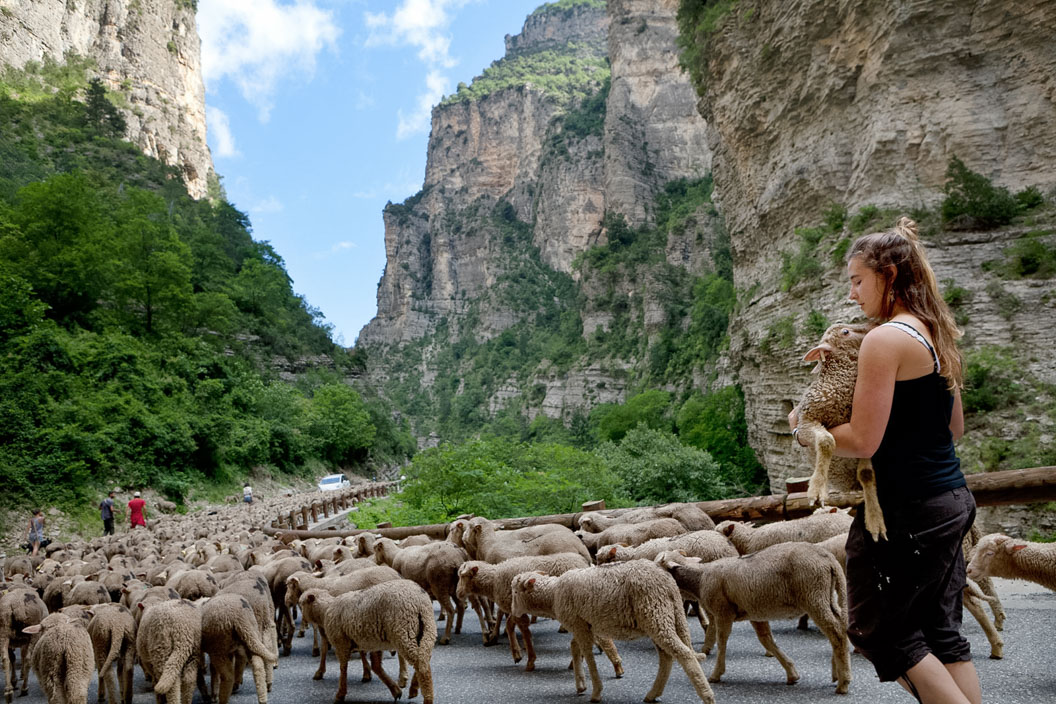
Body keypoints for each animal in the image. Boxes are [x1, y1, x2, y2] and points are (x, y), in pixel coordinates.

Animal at [508, 561, 709, 704]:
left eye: (515, 592)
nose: (512, 612)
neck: (552, 594)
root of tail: (669, 584)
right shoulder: (582, 625)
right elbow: (575, 648)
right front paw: (580, 684)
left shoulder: (579, 625)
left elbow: (588, 655)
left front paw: (596, 692)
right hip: (665, 616)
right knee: (667, 656)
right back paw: (653, 694)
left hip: (656, 614)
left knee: (683, 653)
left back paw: (707, 696)